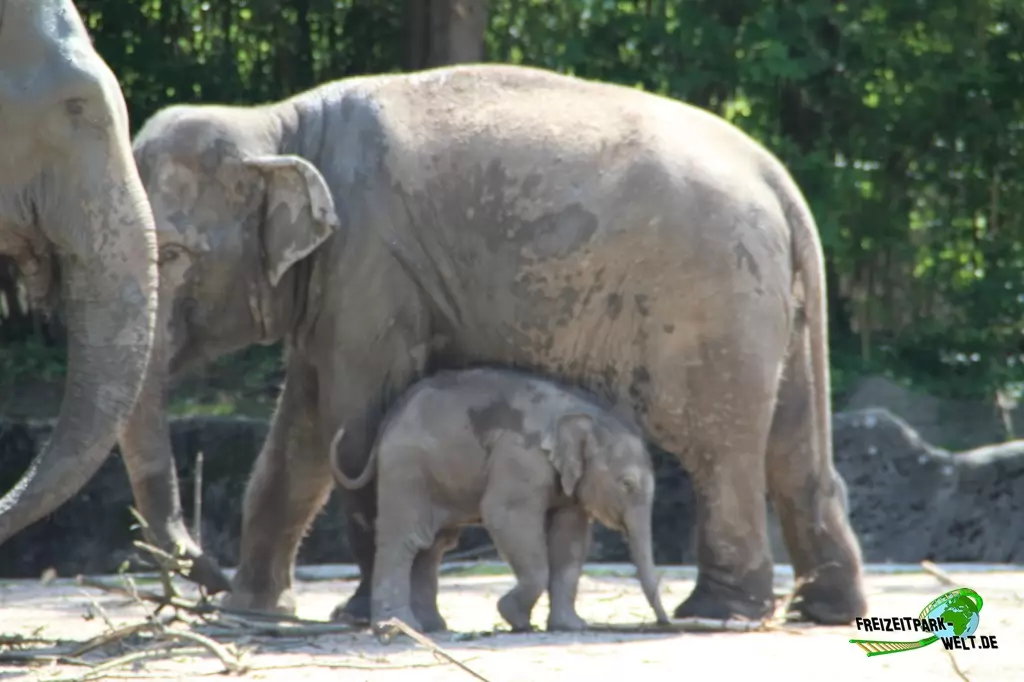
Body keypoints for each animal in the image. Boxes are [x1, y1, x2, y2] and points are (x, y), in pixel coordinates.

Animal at [328, 367, 670, 633]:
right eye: (627, 484)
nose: (664, 623)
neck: (584, 415)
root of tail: (390, 419)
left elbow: (570, 537)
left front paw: (571, 626)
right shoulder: (522, 457)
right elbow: (504, 515)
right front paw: (516, 619)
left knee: (432, 545)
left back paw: (432, 627)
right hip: (405, 469)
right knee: (406, 539)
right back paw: (397, 627)